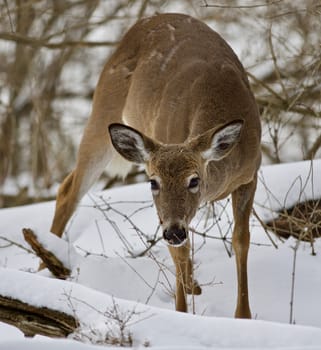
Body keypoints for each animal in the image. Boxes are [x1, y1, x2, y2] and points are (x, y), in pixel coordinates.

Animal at [49, 13, 260, 318]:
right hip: (104, 107)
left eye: (194, 180)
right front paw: (182, 310)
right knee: (69, 191)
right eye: (153, 182)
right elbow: (181, 252)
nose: (172, 232)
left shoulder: (250, 174)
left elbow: (241, 240)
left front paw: (242, 316)